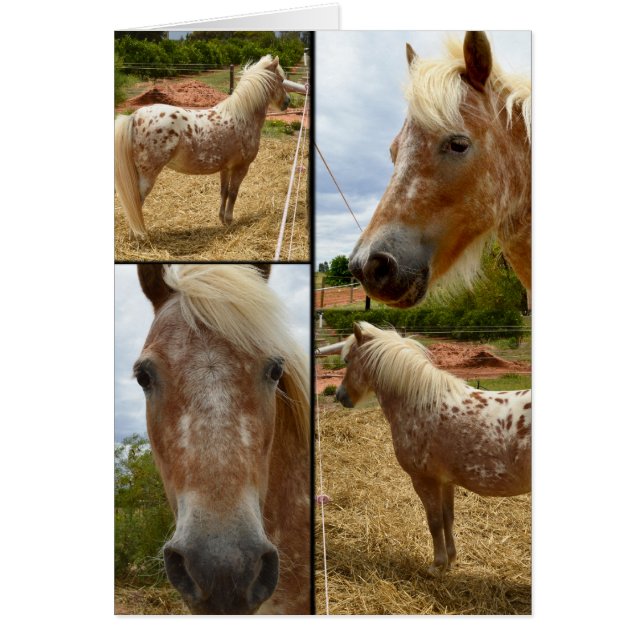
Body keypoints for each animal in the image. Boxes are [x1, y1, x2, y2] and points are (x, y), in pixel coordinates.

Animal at [115, 55, 291, 240]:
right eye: (281, 80)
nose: (287, 102)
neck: (242, 116)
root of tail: (135, 116)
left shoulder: (226, 168)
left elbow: (224, 192)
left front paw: (222, 219)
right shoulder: (241, 168)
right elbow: (233, 193)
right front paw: (230, 221)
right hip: (148, 175)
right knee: (136, 201)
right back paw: (139, 236)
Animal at [335, 322, 531, 576]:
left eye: (347, 360)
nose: (340, 395)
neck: (421, 404)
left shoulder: (423, 480)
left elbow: (434, 521)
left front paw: (437, 565)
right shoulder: (445, 481)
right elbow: (448, 518)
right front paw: (451, 559)